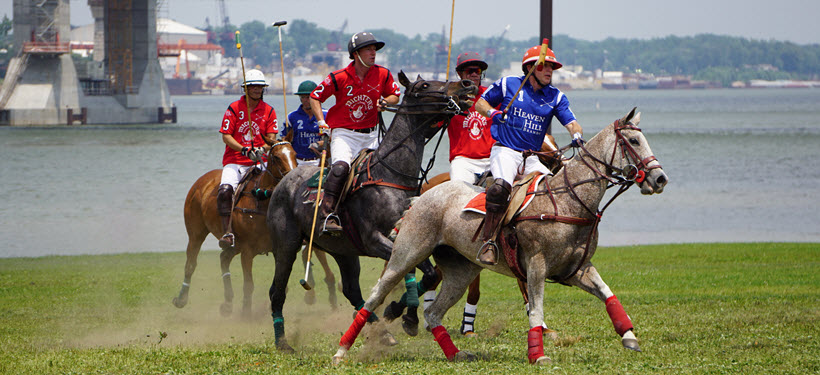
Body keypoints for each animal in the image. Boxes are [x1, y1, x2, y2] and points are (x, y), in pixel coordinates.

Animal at [171, 142, 322, 318]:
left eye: (295, 154)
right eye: (276, 157)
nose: (293, 178)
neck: (263, 202)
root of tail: (202, 180)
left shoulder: (277, 249)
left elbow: (280, 284)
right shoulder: (248, 250)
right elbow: (249, 284)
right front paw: (246, 314)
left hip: (235, 244)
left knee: (223, 258)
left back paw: (227, 304)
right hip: (196, 233)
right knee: (191, 263)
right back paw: (181, 298)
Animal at [266, 72, 478, 354]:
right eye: (424, 86)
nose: (466, 85)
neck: (391, 176)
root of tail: (284, 180)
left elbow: (425, 275)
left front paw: (403, 314)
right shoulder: (375, 240)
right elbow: (421, 273)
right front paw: (404, 314)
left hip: (344, 251)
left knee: (351, 290)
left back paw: (381, 331)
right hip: (286, 245)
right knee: (277, 290)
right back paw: (282, 342)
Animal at [334, 108, 668, 364]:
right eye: (634, 140)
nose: (660, 178)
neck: (569, 201)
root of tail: (420, 197)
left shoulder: (577, 269)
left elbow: (608, 294)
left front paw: (629, 337)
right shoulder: (536, 266)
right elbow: (536, 309)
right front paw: (538, 355)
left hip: (461, 270)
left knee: (434, 313)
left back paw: (455, 353)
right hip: (407, 253)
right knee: (375, 297)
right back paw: (343, 350)